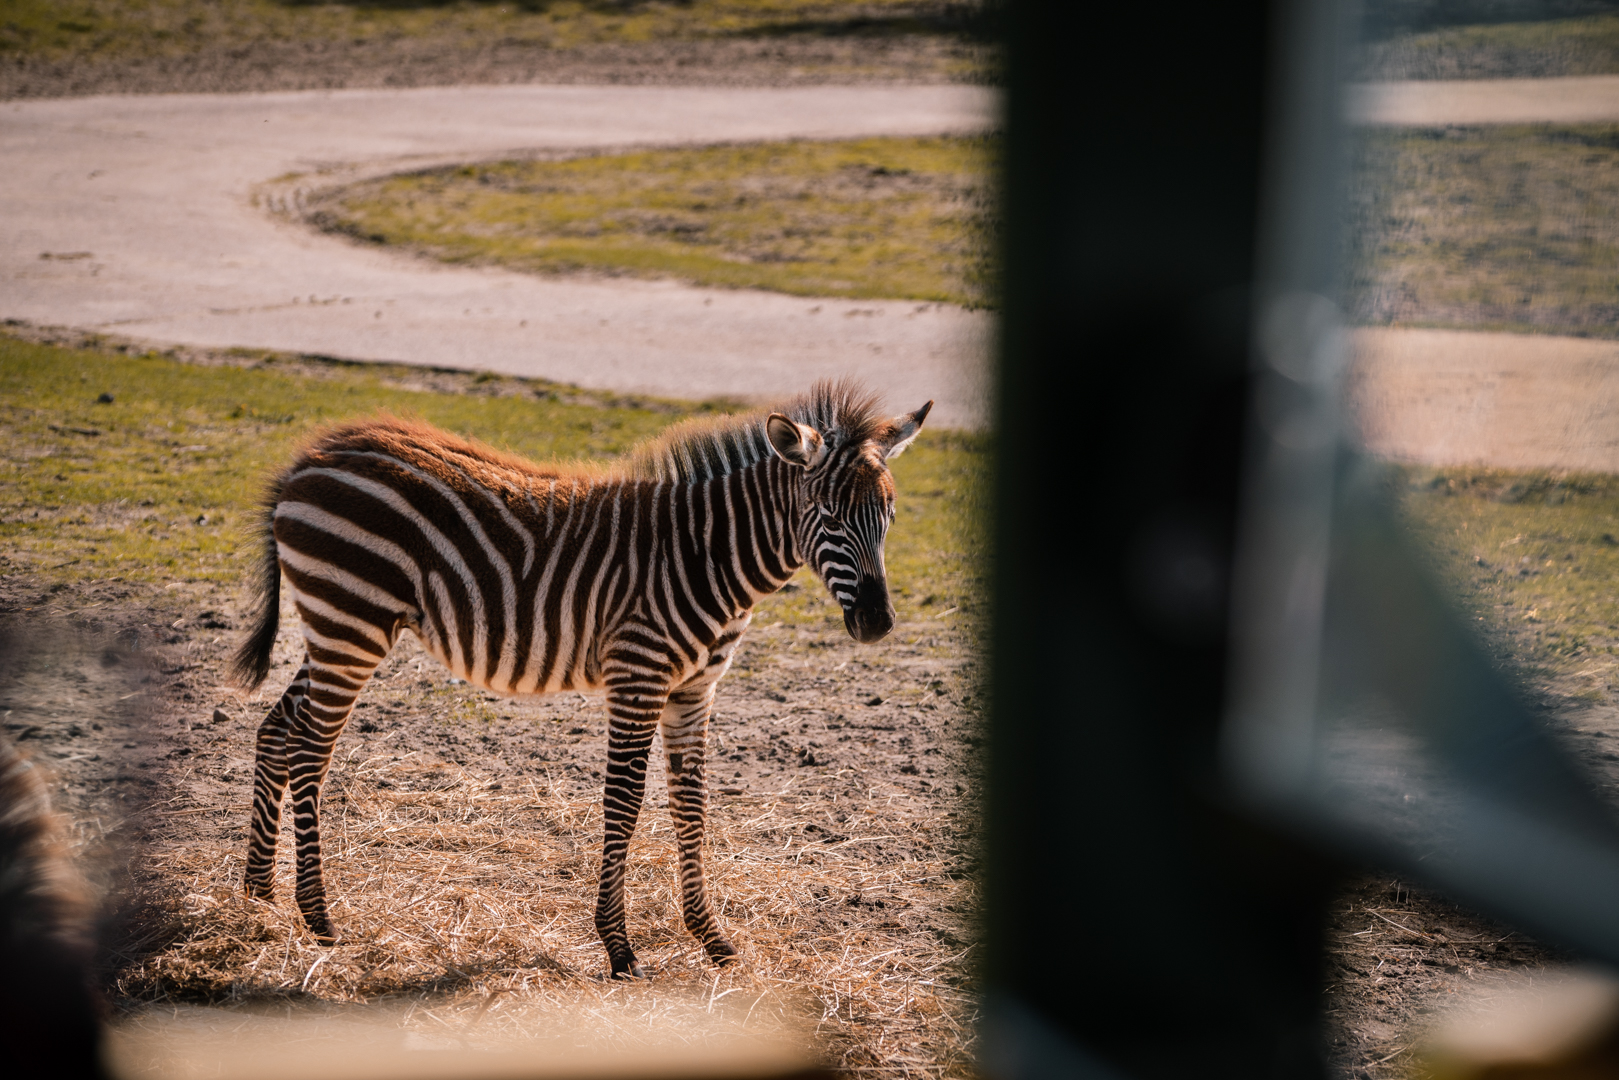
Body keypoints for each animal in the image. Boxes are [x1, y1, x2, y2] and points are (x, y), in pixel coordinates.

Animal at [230, 381, 931, 978]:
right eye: (827, 514)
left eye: (891, 516)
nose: (877, 623)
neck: (707, 556)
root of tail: (310, 458)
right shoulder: (640, 673)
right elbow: (624, 802)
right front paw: (619, 948)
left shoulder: (694, 690)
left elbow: (692, 804)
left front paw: (712, 938)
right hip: (353, 621)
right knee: (310, 749)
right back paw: (318, 918)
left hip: (334, 627)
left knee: (278, 729)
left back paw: (259, 896)